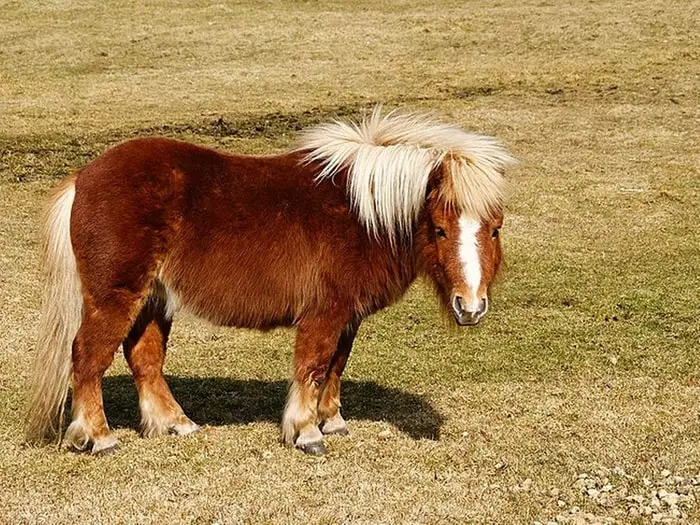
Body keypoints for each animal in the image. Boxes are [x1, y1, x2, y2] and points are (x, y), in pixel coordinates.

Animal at [23, 107, 516, 454]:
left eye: (495, 228)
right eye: (440, 229)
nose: (470, 307)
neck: (362, 213)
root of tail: (83, 177)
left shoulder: (348, 316)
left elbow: (336, 365)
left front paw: (332, 421)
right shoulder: (324, 313)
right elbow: (313, 366)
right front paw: (306, 432)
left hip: (154, 299)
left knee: (144, 358)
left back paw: (175, 424)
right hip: (115, 295)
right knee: (88, 357)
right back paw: (100, 437)